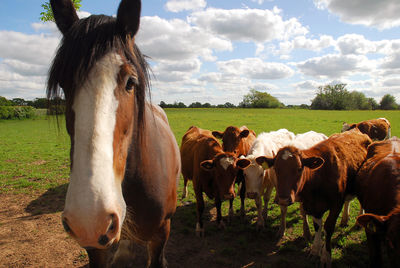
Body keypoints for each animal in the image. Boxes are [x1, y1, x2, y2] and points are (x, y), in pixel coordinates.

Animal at [256, 129, 372, 266]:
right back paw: (344, 219)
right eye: (276, 168)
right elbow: (317, 226)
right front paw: (315, 250)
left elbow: (328, 227)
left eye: (299, 168)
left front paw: (326, 257)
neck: (319, 176)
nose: (283, 199)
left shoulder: (336, 204)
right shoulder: (313, 205)